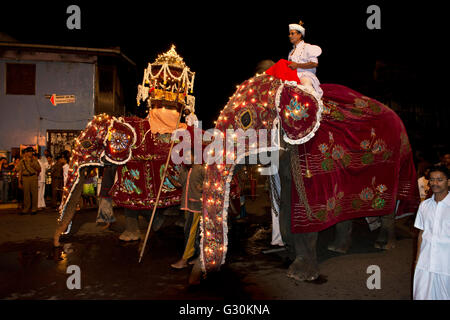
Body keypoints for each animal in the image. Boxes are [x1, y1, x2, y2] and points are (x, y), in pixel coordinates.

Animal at [199, 60, 420, 280]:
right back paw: (337, 248)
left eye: (245, 119)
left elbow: (305, 216)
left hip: (397, 162)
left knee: (389, 207)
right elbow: (286, 209)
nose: (209, 273)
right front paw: (289, 254)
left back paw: (383, 245)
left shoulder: (310, 160)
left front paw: (299, 275)